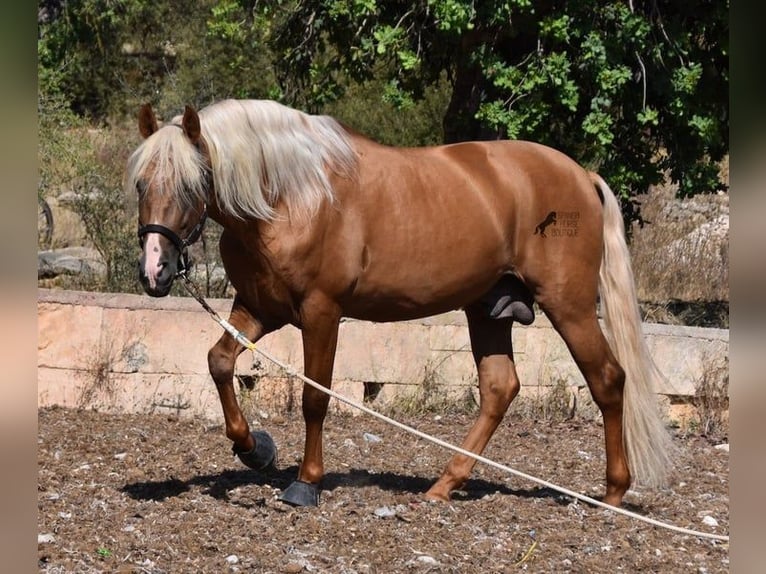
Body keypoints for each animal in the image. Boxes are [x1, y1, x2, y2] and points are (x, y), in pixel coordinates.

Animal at [129, 98, 676, 508]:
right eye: (140, 183)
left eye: (191, 183)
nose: (155, 270)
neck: (289, 198)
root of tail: (583, 176)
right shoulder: (260, 308)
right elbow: (219, 362)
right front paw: (253, 448)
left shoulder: (321, 313)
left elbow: (314, 398)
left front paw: (306, 482)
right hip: (488, 309)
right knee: (500, 388)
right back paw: (444, 485)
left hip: (570, 306)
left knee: (608, 380)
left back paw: (613, 492)